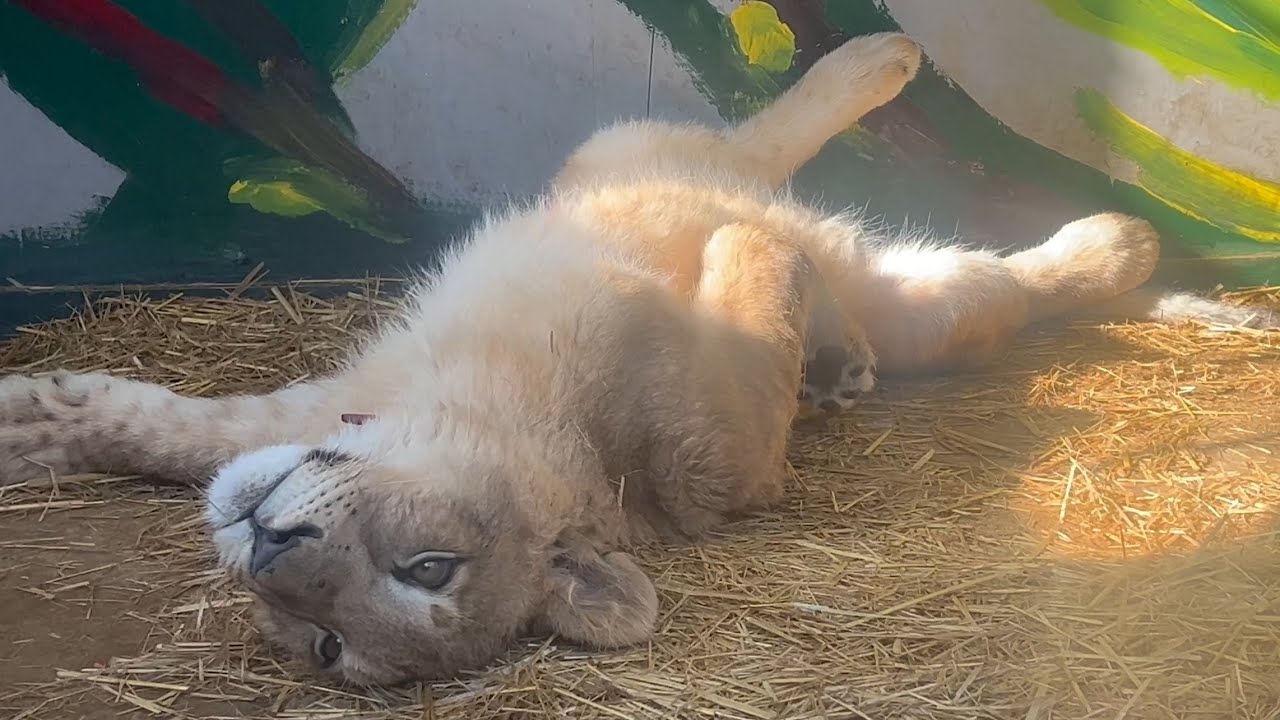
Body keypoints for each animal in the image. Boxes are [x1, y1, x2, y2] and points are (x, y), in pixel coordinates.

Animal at [1, 32, 1275, 686]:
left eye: (425, 574)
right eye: (320, 643)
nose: (268, 550)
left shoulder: (699, 433)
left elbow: (733, 398)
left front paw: (768, 296)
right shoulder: (306, 404)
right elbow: (169, 432)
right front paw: (33, 422)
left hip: (639, 158)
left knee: (907, 238)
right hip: (658, 175)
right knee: (839, 219)